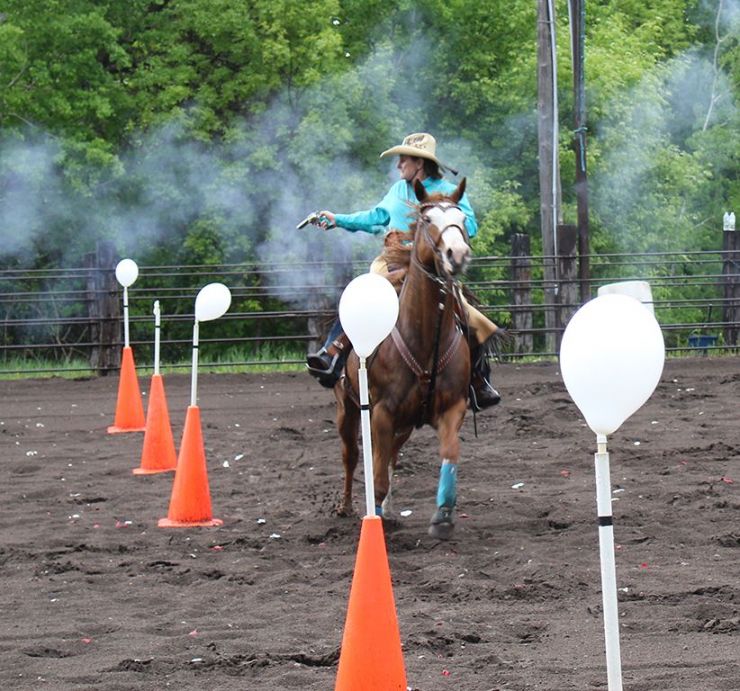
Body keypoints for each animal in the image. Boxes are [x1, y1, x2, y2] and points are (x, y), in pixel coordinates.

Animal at [334, 177, 472, 540]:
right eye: (427, 219)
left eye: (462, 219)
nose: (457, 254)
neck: (424, 342)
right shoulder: (381, 412)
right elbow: (377, 470)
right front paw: (376, 520)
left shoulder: (453, 408)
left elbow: (449, 453)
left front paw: (443, 516)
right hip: (347, 407)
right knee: (352, 455)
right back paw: (346, 506)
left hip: (405, 424)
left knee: (391, 455)